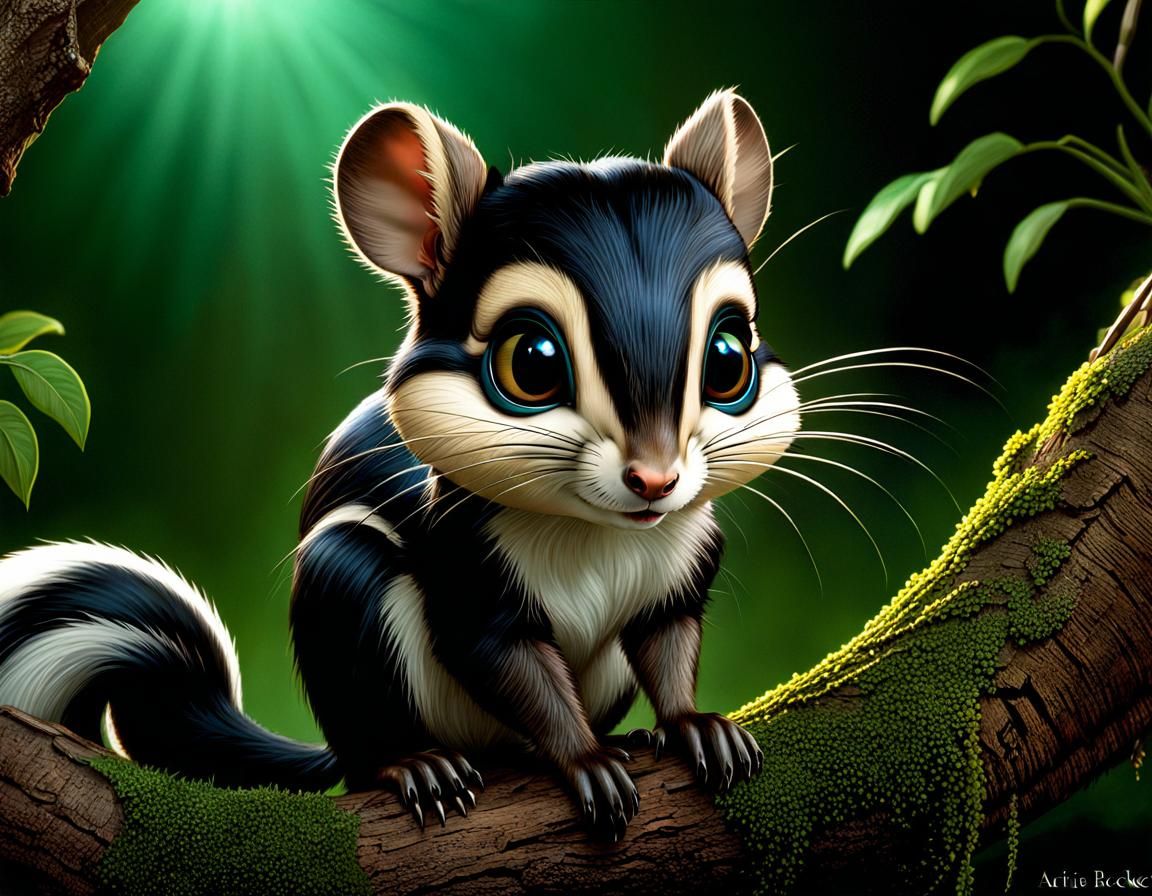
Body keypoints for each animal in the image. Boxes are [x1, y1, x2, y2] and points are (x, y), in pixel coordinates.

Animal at [0, 90, 798, 839]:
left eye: (728, 357)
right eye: (533, 362)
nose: (656, 479)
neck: (599, 534)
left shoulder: (683, 566)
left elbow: (669, 646)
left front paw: (696, 727)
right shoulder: (469, 574)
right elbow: (515, 667)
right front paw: (585, 760)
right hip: (346, 590)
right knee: (372, 745)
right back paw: (418, 765)